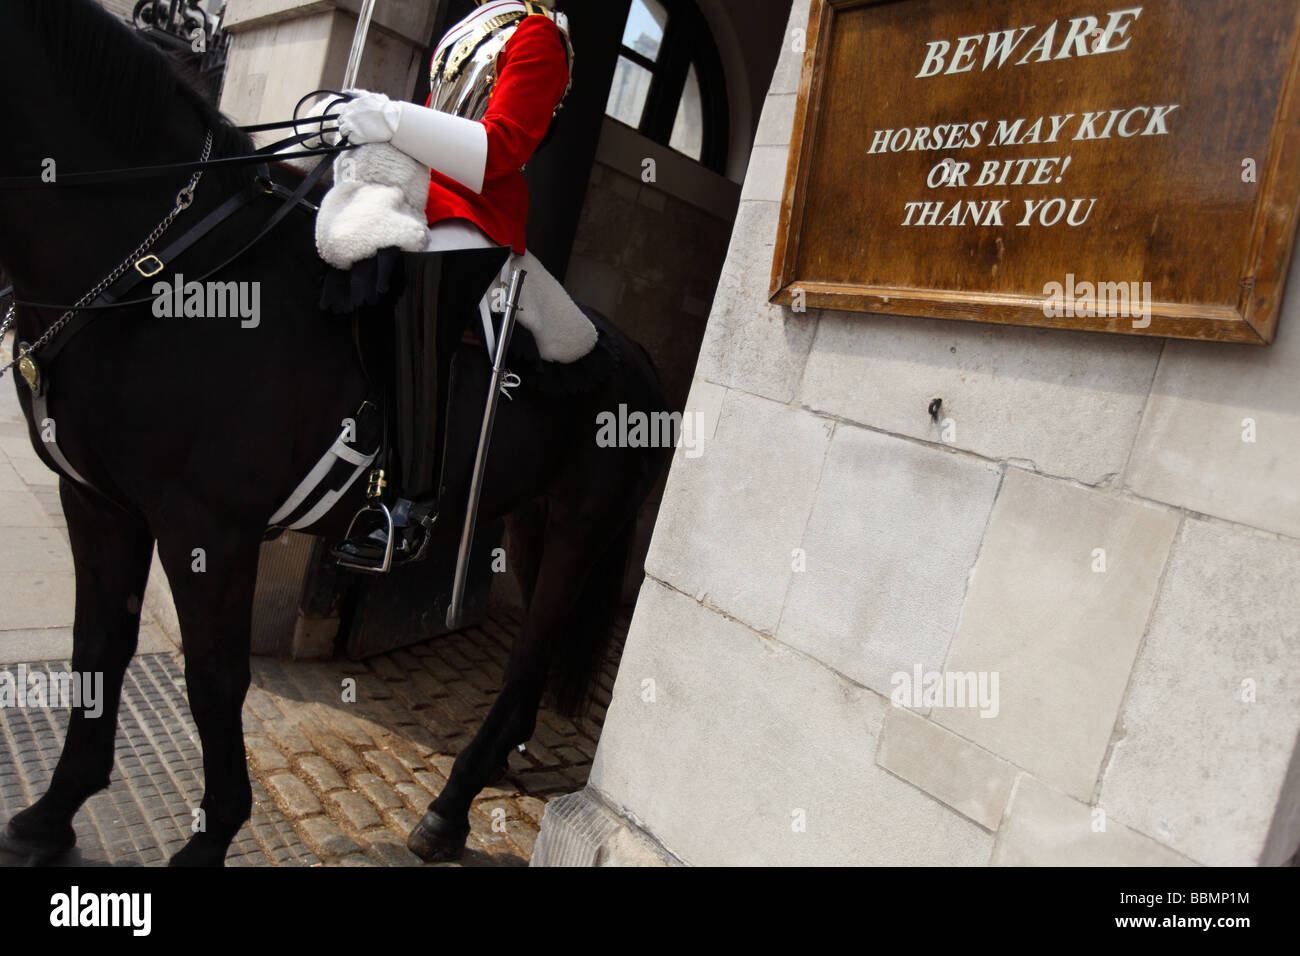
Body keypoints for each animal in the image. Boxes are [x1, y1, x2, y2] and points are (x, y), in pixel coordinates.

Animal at [0, 0, 665, 868]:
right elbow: (95, 652)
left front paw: (213, 835)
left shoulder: (207, 527)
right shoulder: (100, 506)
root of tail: (637, 357)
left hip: (583, 528)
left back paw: (449, 807)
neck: (169, 274)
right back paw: (470, 793)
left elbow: (214, 677)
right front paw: (52, 814)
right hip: (532, 521)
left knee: (526, 664)